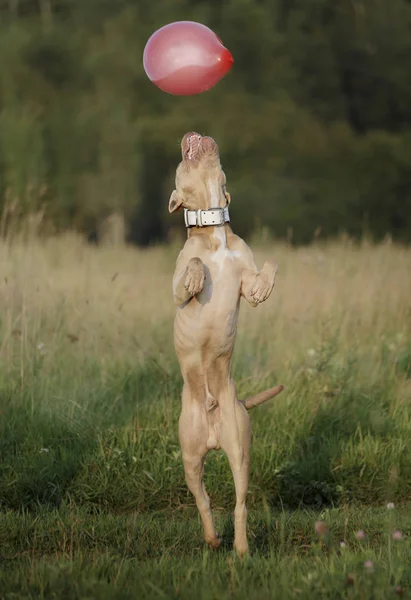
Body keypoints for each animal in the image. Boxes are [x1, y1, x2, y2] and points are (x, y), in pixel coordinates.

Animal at [168, 134, 284, 556]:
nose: (191, 134)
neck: (214, 227)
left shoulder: (246, 280)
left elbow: (264, 271)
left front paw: (267, 283)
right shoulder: (176, 290)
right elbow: (192, 270)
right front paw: (199, 275)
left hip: (240, 450)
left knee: (239, 503)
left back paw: (239, 547)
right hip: (188, 456)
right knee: (202, 500)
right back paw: (212, 538)